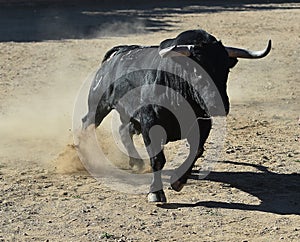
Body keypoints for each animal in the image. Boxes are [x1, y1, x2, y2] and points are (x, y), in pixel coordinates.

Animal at [81, 29, 270, 202]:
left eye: (226, 70)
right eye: (197, 71)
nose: (219, 105)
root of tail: (118, 54)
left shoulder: (203, 124)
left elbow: (196, 150)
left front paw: (178, 181)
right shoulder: (150, 124)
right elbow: (158, 159)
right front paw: (156, 192)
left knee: (123, 130)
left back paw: (137, 162)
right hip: (99, 106)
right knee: (87, 123)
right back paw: (85, 156)